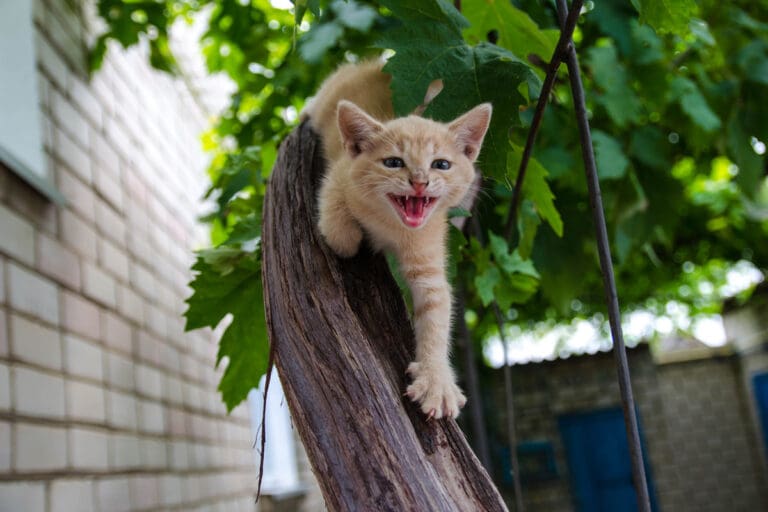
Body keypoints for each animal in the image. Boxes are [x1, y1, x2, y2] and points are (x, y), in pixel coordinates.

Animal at [302, 61, 488, 420]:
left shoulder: (428, 257)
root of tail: (373, 64)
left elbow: (437, 313)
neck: (392, 225)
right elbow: (338, 227)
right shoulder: (339, 176)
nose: (419, 181)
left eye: (441, 164)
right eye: (393, 162)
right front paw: (352, 236)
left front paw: (436, 379)